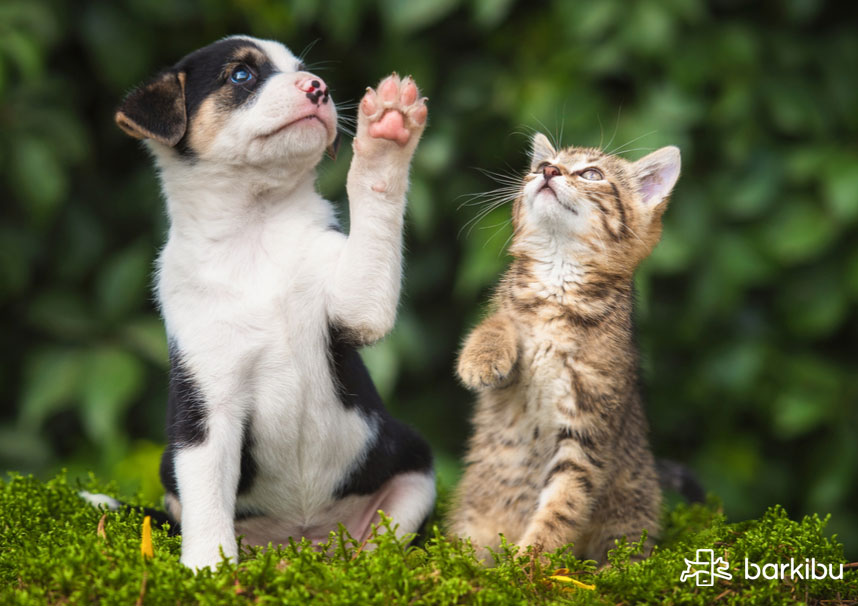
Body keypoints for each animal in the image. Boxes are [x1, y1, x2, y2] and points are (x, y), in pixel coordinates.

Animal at [108, 36, 434, 568]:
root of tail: (303, 540)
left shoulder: (357, 307)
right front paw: (208, 569)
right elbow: (207, 502)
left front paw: (388, 131)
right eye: (241, 75)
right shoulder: (207, 407)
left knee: (379, 545)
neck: (255, 228)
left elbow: (376, 194)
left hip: (413, 467)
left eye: (302, 69)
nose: (318, 87)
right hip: (169, 470)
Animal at [448, 133, 684, 564]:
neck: (558, 282)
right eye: (542, 165)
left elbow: (563, 504)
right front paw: (482, 357)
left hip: (632, 510)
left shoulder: (587, 428)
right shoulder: (510, 322)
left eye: (591, 174)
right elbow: (498, 322)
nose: (548, 171)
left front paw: (529, 562)